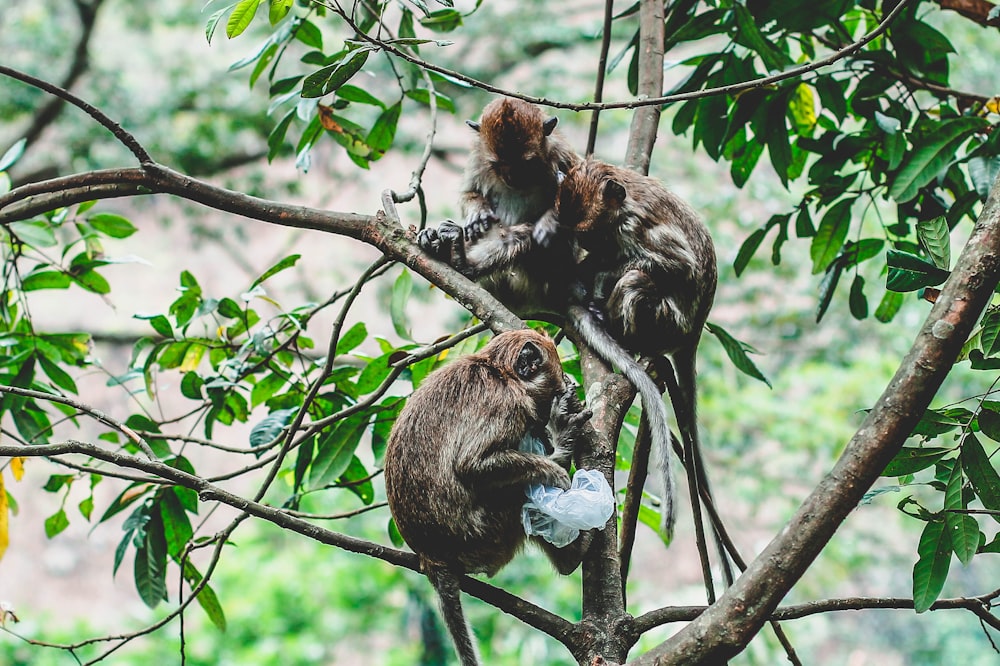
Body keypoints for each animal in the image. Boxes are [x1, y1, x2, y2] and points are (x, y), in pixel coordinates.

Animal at [384, 328, 592, 664]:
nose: (543, 428)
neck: (498, 371)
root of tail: (432, 558)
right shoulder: (505, 404)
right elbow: (470, 464)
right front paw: (557, 459)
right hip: (485, 535)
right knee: (517, 493)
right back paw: (572, 554)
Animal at [418, 96, 584, 320]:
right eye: (498, 163)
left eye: (526, 162)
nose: (512, 177)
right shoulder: (478, 157)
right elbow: (468, 193)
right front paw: (477, 212)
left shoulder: (562, 153)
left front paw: (549, 222)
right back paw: (440, 243)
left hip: (547, 274)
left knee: (529, 235)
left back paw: (464, 263)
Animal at [556, 158, 720, 536]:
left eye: (592, 234)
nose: (594, 249)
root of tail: (693, 335)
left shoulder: (638, 226)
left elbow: (677, 266)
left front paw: (602, 273)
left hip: (666, 323)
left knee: (636, 280)